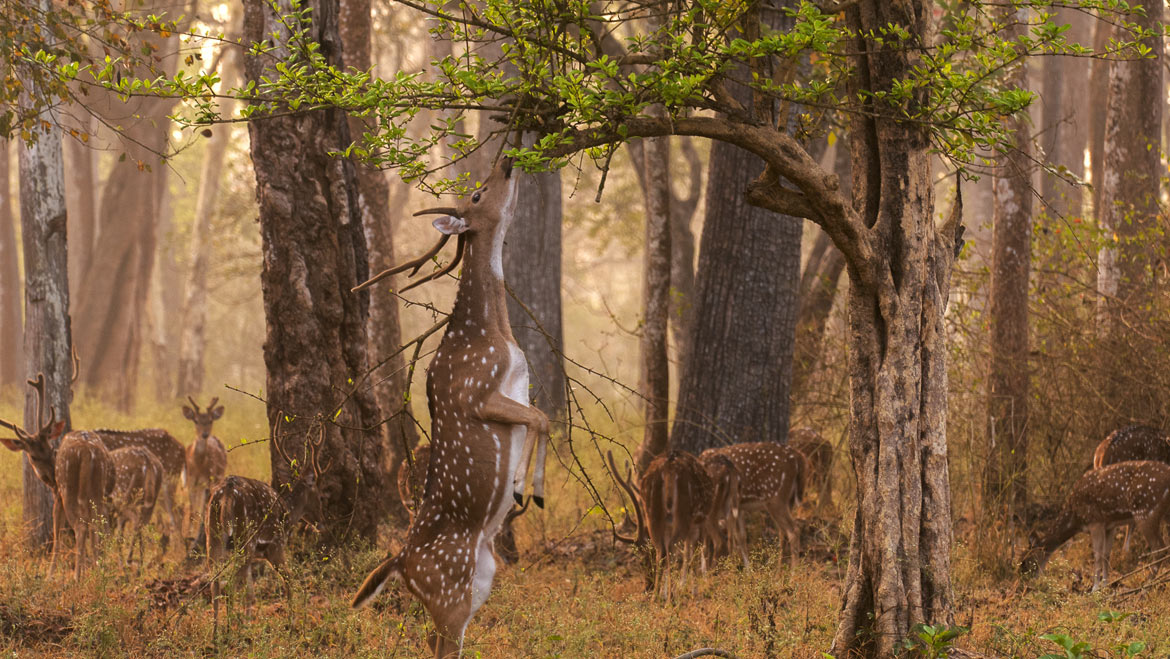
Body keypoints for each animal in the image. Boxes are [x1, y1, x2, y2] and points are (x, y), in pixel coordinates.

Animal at [0, 374, 115, 580]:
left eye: (49, 448)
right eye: (34, 455)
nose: (48, 475)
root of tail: (88, 452)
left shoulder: (57, 496)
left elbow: (57, 535)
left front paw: (50, 575)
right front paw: (92, 566)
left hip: (68, 488)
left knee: (80, 527)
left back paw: (77, 577)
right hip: (98, 488)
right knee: (98, 525)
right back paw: (100, 569)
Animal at [182, 395, 228, 538]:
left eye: (210, 420)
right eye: (195, 420)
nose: (205, 434)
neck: (198, 465)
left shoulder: (207, 481)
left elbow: (202, 510)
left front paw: (196, 534)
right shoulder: (190, 482)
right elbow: (192, 510)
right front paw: (189, 534)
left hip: (216, 480)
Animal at [348, 156, 549, 655]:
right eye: (477, 195)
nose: (508, 161)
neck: (493, 334)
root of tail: (398, 563)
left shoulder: (517, 390)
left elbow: (544, 417)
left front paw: (529, 488)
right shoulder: (476, 393)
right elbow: (542, 418)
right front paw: (523, 487)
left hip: (480, 581)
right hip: (449, 590)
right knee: (441, 643)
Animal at [1020, 458, 1170, 592]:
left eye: (1026, 560)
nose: (1025, 582)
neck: (1076, 518)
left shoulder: (1095, 521)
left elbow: (1097, 555)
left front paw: (1095, 588)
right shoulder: (1110, 525)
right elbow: (1106, 555)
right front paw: (1105, 585)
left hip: (1146, 511)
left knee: (1159, 549)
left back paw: (1145, 589)